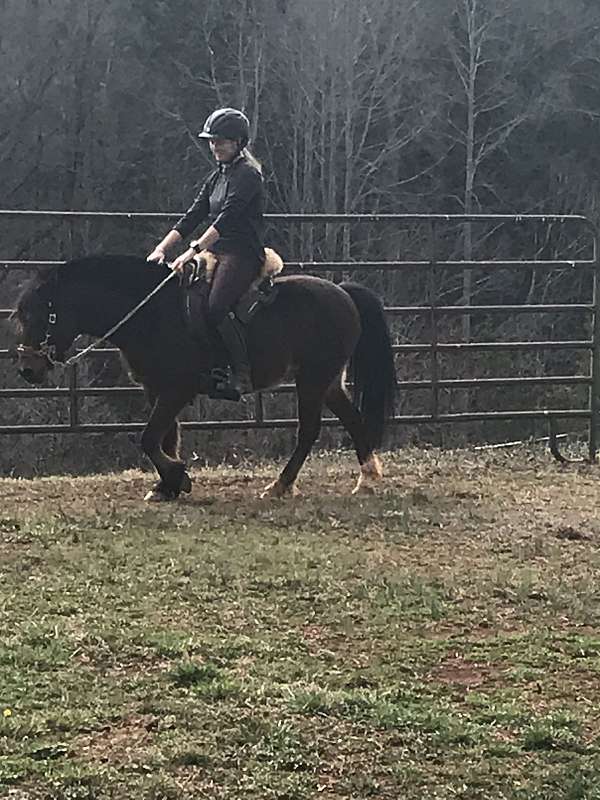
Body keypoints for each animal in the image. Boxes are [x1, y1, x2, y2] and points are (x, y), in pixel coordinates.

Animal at [11, 253, 396, 500]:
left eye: (41, 314)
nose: (28, 369)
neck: (153, 313)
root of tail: (344, 292)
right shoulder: (156, 388)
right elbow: (166, 438)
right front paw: (166, 486)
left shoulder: (177, 389)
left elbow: (149, 438)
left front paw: (177, 477)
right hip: (327, 381)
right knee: (353, 420)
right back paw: (367, 479)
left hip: (313, 379)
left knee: (309, 431)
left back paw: (280, 486)